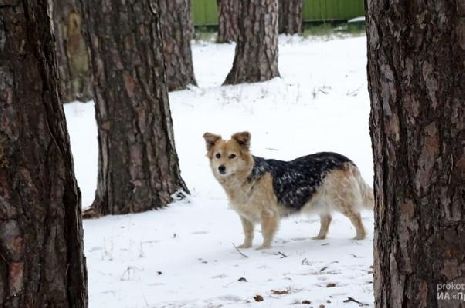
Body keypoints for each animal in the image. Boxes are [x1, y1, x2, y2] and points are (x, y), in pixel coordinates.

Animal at [203, 131, 374, 249]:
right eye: (218, 155)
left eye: (232, 156)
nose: (221, 168)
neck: (246, 175)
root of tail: (346, 160)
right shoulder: (244, 215)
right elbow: (248, 233)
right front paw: (246, 247)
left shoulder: (268, 213)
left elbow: (265, 232)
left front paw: (263, 249)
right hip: (319, 198)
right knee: (327, 218)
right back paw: (319, 237)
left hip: (340, 198)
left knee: (356, 217)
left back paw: (359, 237)